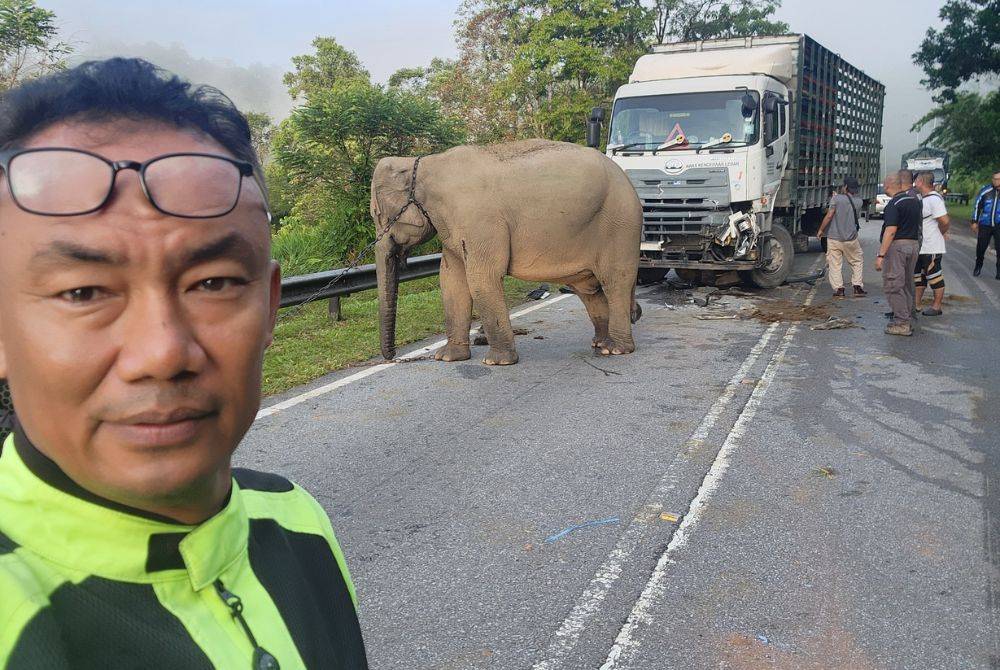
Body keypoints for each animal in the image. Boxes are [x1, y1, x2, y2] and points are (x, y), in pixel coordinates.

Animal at [371, 139, 642, 366]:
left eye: (377, 214)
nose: (394, 358)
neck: (424, 164)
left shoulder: (479, 221)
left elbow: (481, 279)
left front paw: (497, 362)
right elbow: (451, 281)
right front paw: (447, 357)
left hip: (620, 224)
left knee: (615, 281)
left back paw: (616, 349)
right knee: (589, 289)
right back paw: (601, 343)